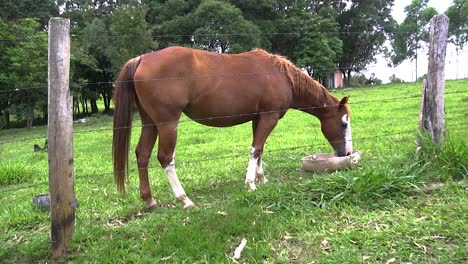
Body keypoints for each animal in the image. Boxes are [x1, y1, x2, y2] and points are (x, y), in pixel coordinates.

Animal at [112, 46, 352, 209]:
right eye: (343, 123)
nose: (347, 153)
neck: (281, 75)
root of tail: (141, 59)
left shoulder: (259, 118)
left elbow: (259, 150)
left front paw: (261, 178)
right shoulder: (270, 117)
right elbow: (256, 149)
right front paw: (250, 183)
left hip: (150, 123)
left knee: (142, 154)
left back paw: (150, 200)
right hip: (167, 124)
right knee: (165, 158)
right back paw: (184, 199)